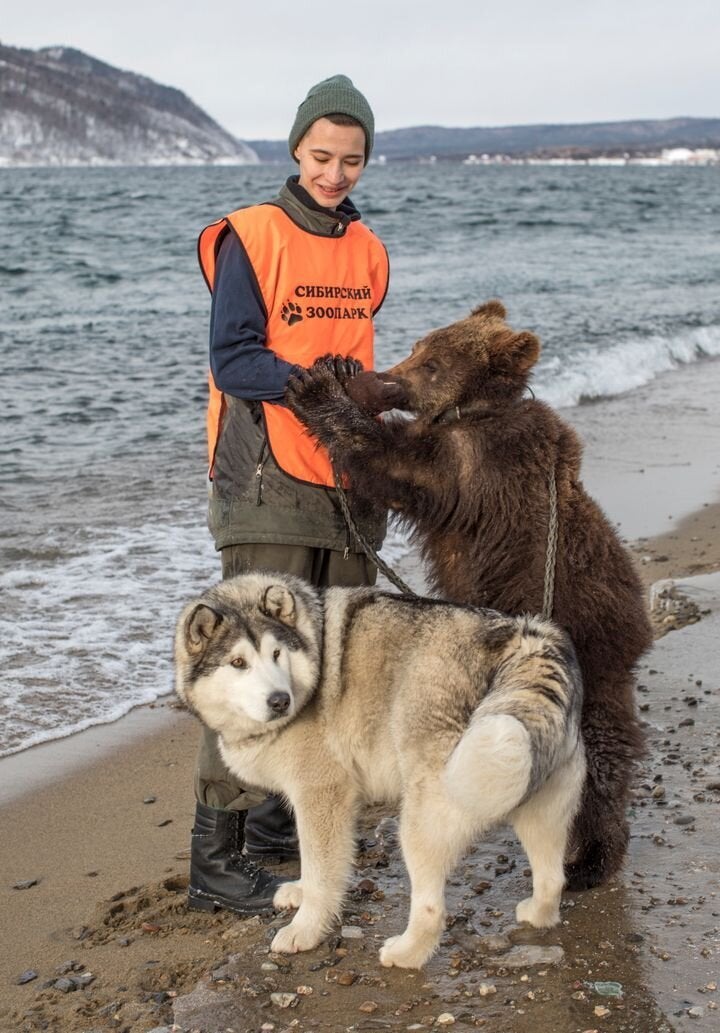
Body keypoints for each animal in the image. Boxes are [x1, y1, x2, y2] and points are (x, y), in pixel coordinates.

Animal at [175, 574, 582, 966]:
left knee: (432, 908)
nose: (280, 701)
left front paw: (306, 929)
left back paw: (407, 954)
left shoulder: (322, 795)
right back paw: (538, 913)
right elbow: (313, 862)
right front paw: (300, 891)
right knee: (552, 878)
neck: (313, 646)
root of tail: (525, 638)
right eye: (238, 663)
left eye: (276, 654)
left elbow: (322, 872)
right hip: (536, 797)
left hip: (421, 818)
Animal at [285, 301, 652, 896]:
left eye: (432, 363)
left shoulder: (476, 465)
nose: (383, 377)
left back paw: (589, 861)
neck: (471, 411)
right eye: (418, 346)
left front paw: (315, 389)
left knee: (600, 760)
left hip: (592, 654)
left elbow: (395, 464)